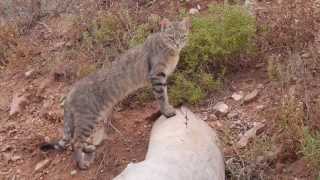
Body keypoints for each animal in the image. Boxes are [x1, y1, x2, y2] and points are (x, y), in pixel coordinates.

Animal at [40, 17, 190, 169]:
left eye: (182, 36)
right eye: (171, 37)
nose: (178, 44)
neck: (170, 51)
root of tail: (71, 90)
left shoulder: (162, 78)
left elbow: (165, 95)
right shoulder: (157, 77)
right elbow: (162, 97)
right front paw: (167, 111)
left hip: (96, 119)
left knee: (82, 141)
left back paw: (89, 150)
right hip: (87, 120)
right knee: (75, 142)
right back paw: (81, 164)